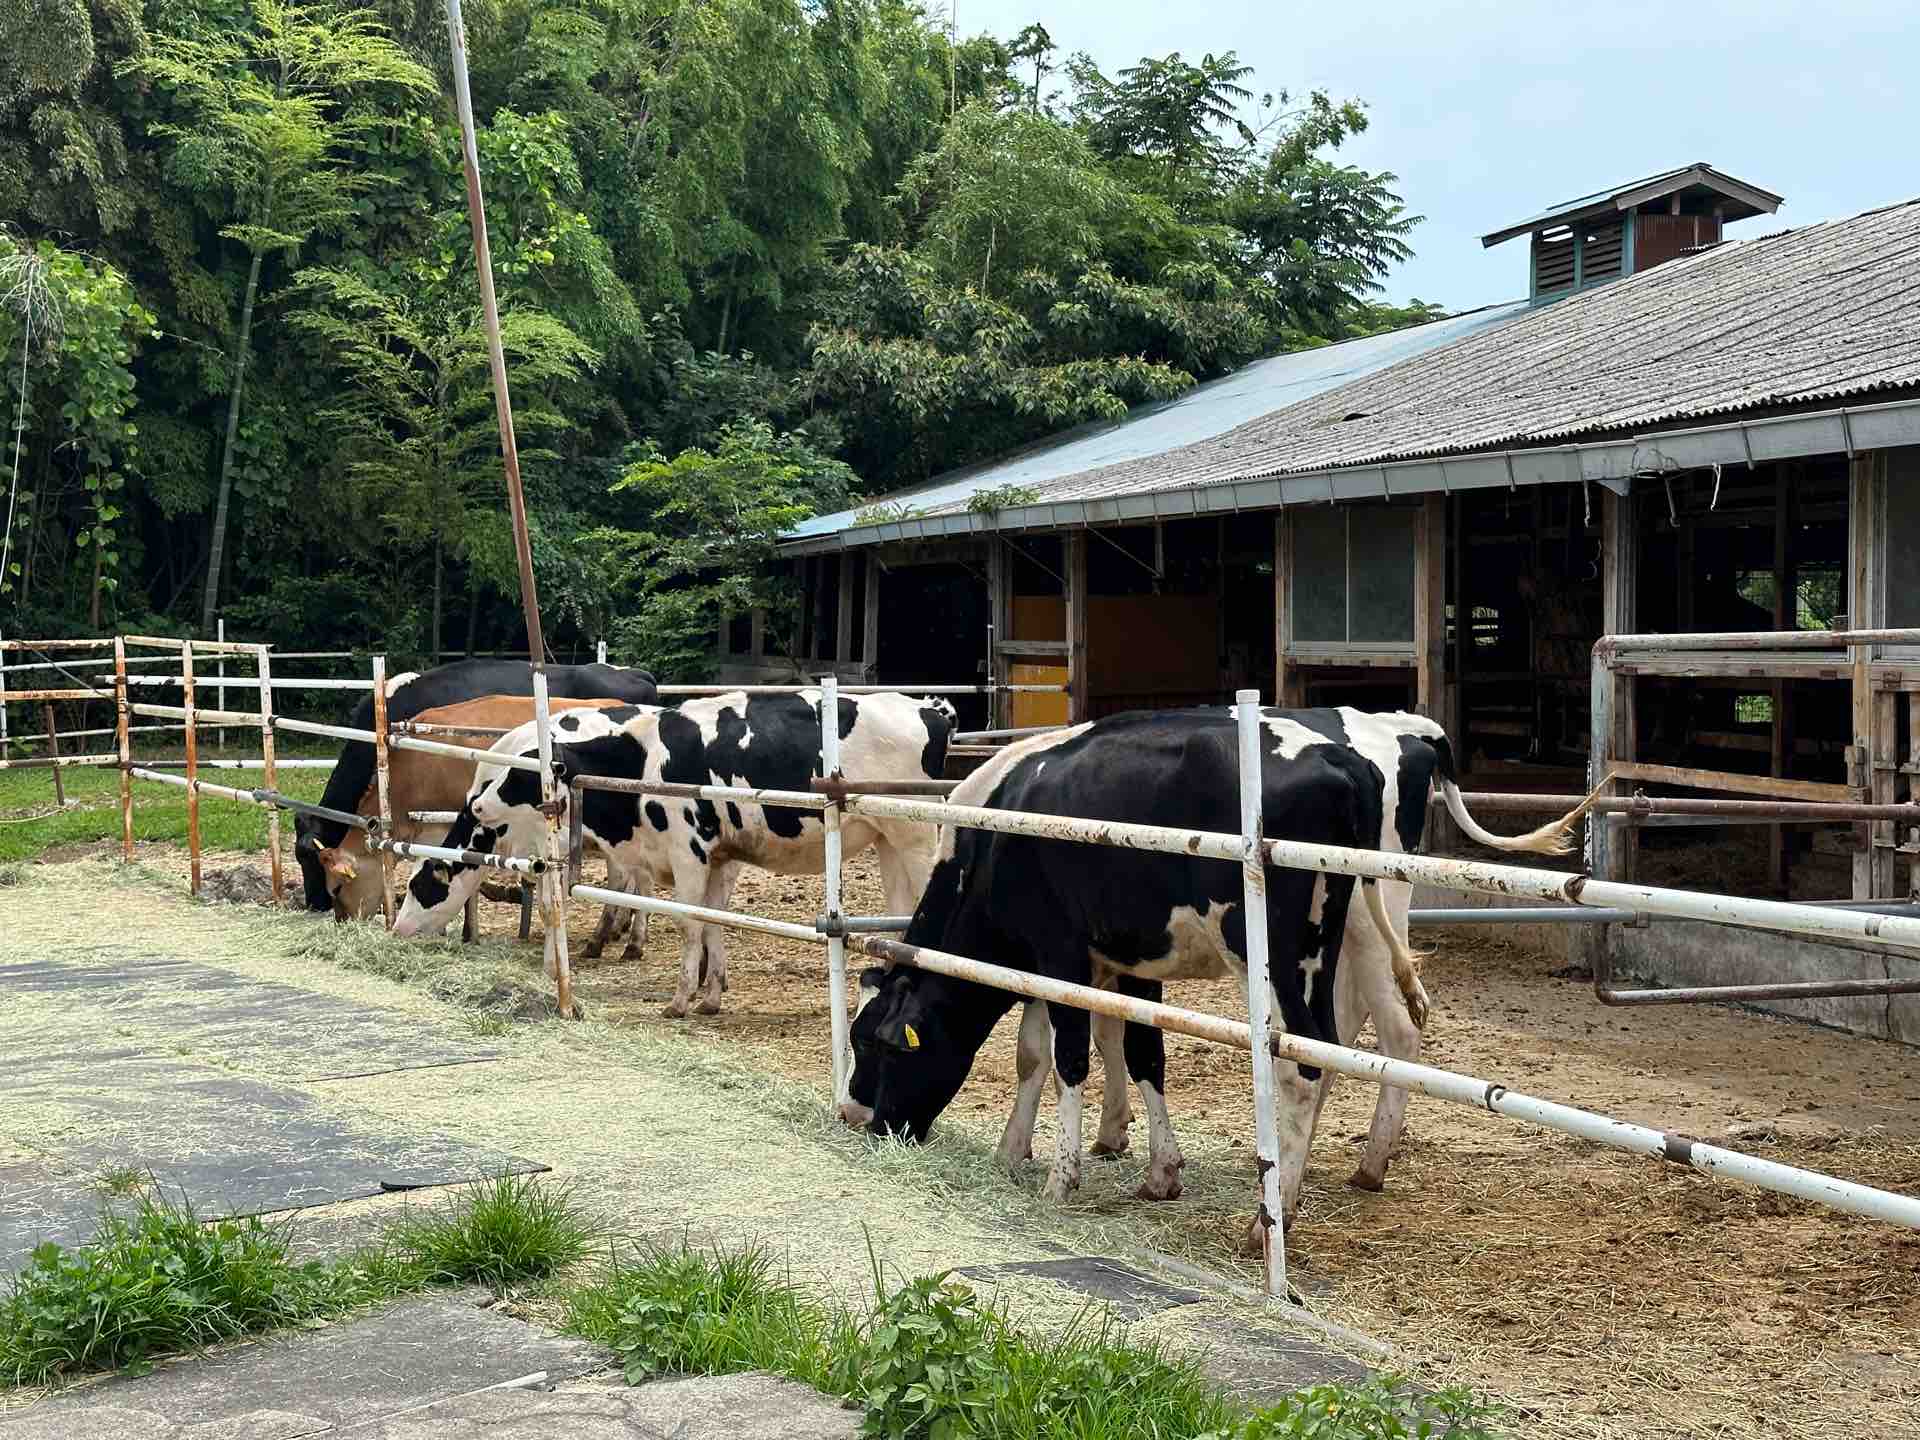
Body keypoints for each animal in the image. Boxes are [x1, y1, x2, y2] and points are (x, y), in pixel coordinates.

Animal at [391, 691, 958, 1018]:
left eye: (421, 887)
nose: (395, 930)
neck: (638, 761)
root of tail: (928, 706)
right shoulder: (720, 855)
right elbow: (713, 920)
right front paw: (711, 995)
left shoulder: (689, 852)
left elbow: (686, 921)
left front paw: (680, 998)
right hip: (885, 838)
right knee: (898, 910)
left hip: (915, 836)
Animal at [841, 706, 1592, 1249]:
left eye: (879, 1047)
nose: (857, 1118)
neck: (993, 835)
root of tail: (1351, 754)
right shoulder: (1118, 957)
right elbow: (1120, 1049)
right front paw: (1138, 1166)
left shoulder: (1061, 953)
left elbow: (1070, 1056)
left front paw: (1063, 1171)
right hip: (1345, 930)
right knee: (1342, 1038)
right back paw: (1313, 1179)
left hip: (1291, 945)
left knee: (1317, 1057)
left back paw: (1277, 1215)